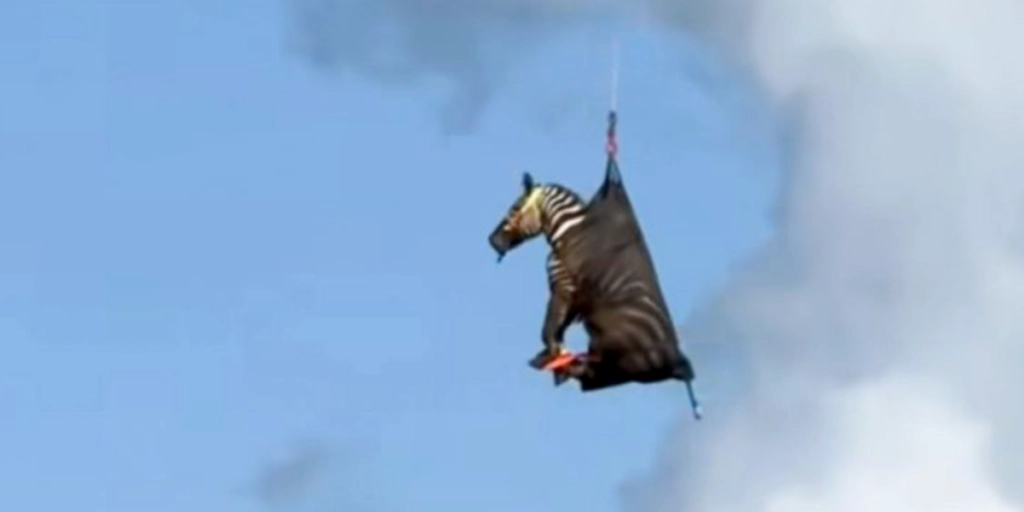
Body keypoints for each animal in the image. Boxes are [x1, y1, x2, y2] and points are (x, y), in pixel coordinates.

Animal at [488, 167, 701, 419]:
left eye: (515, 207)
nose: (493, 241)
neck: (570, 231)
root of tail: (680, 365)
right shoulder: (573, 299)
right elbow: (555, 332)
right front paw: (553, 360)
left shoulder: (563, 288)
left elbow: (549, 331)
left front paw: (555, 362)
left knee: (597, 370)